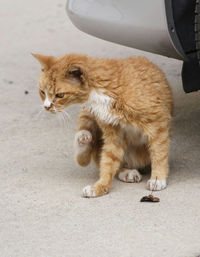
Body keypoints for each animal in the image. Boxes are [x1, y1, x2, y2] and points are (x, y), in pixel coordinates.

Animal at [33, 53, 173, 197]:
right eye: (42, 92)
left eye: (60, 95)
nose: (46, 107)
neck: (103, 92)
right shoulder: (114, 135)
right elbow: (108, 162)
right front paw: (100, 186)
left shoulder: (157, 125)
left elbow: (159, 153)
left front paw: (158, 178)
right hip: (87, 112)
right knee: (86, 157)